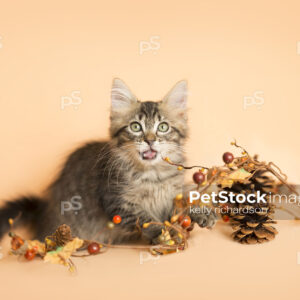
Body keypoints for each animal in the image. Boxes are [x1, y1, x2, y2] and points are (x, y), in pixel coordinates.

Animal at [0, 79, 216, 244]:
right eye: (136, 127)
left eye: (163, 127)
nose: (150, 140)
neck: (153, 175)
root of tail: (43, 209)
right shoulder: (119, 201)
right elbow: (148, 221)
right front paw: (167, 233)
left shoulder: (172, 192)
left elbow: (185, 200)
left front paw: (201, 212)